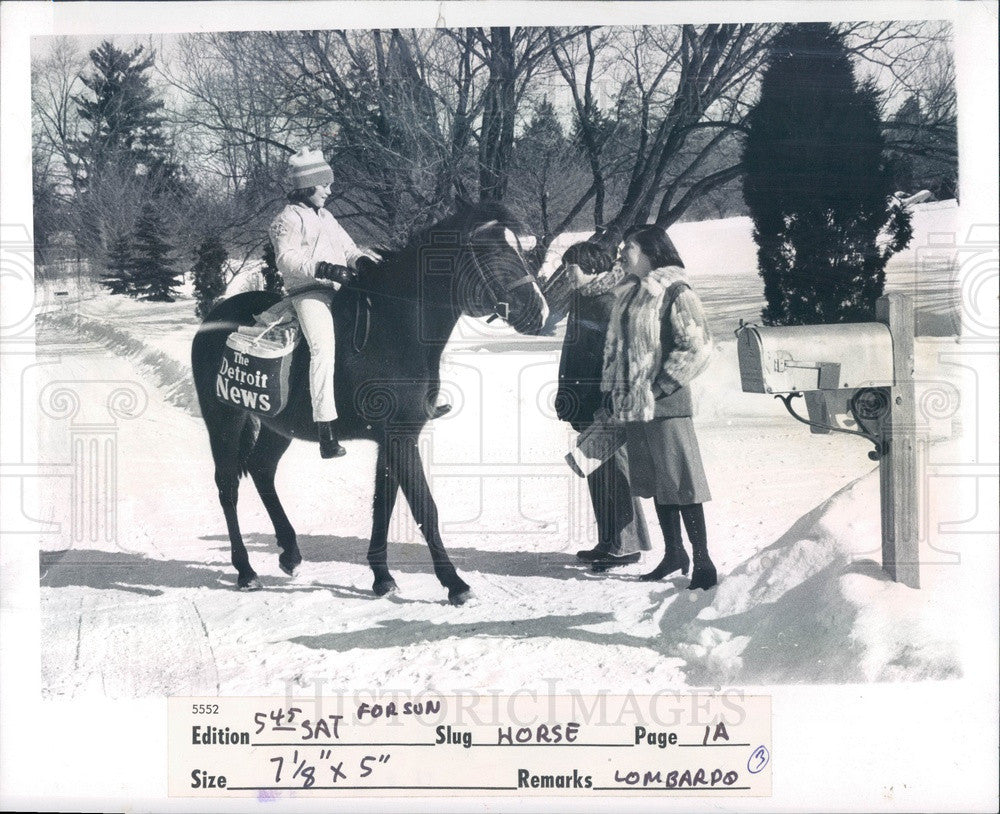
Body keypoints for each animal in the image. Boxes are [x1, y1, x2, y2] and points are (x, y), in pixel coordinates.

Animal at [191, 204, 552, 604]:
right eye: (492, 251)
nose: (539, 312)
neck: (394, 327)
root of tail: (211, 321)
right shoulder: (400, 437)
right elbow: (424, 506)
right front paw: (455, 584)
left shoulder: (391, 438)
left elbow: (384, 505)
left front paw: (382, 577)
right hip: (224, 419)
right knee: (228, 487)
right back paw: (246, 570)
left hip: (279, 426)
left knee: (261, 468)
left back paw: (290, 552)